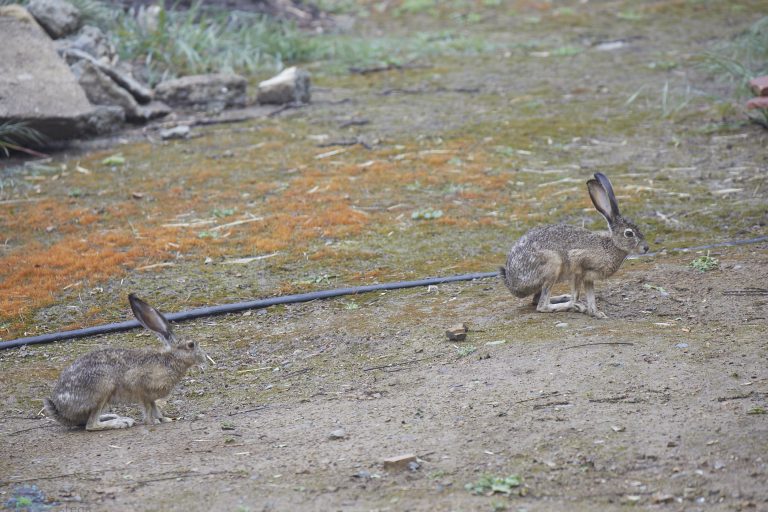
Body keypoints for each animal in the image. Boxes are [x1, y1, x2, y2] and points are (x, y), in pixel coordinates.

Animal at [43, 293, 207, 431]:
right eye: (191, 345)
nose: (204, 357)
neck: (171, 359)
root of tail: (61, 409)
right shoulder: (142, 389)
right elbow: (148, 409)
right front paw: (151, 422)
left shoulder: (151, 396)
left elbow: (155, 408)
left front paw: (164, 419)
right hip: (103, 388)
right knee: (91, 425)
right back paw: (122, 422)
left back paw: (114, 416)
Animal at [500, 172, 648, 319]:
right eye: (629, 233)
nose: (646, 248)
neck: (609, 246)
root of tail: (512, 283)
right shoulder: (578, 266)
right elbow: (577, 293)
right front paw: (580, 306)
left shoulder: (589, 278)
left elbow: (591, 296)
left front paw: (596, 313)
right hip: (552, 265)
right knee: (542, 305)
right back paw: (572, 305)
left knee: (536, 300)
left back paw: (565, 298)